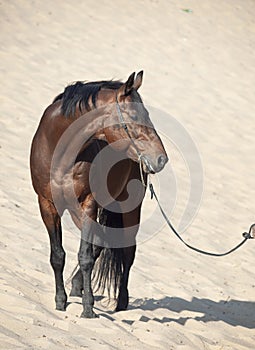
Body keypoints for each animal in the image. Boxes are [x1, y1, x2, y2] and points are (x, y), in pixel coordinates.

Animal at [29, 71, 167, 318]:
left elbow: (84, 256)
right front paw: (61, 301)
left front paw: (88, 308)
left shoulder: (88, 205)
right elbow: (58, 255)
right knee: (102, 242)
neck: (61, 154)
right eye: (134, 115)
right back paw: (77, 286)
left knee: (126, 250)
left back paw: (121, 301)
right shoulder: (47, 204)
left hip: (128, 208)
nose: (161, 159)